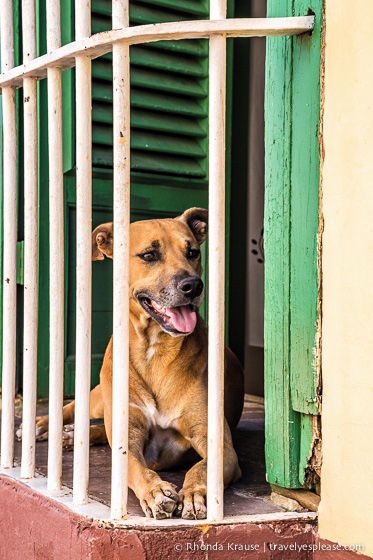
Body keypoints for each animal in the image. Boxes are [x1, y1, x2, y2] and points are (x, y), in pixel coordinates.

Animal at [19, 209, 244, 520]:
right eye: (149, 255)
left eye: (193, 252)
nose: (193, 286)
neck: (155, 349)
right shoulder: (128, 433)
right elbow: (135, 466)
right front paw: (155, 491)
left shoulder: (220, 446)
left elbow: (201, 468)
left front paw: (195, 494)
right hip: (101, 395)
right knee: (77, 408)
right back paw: (44, 426)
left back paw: (73, 435)